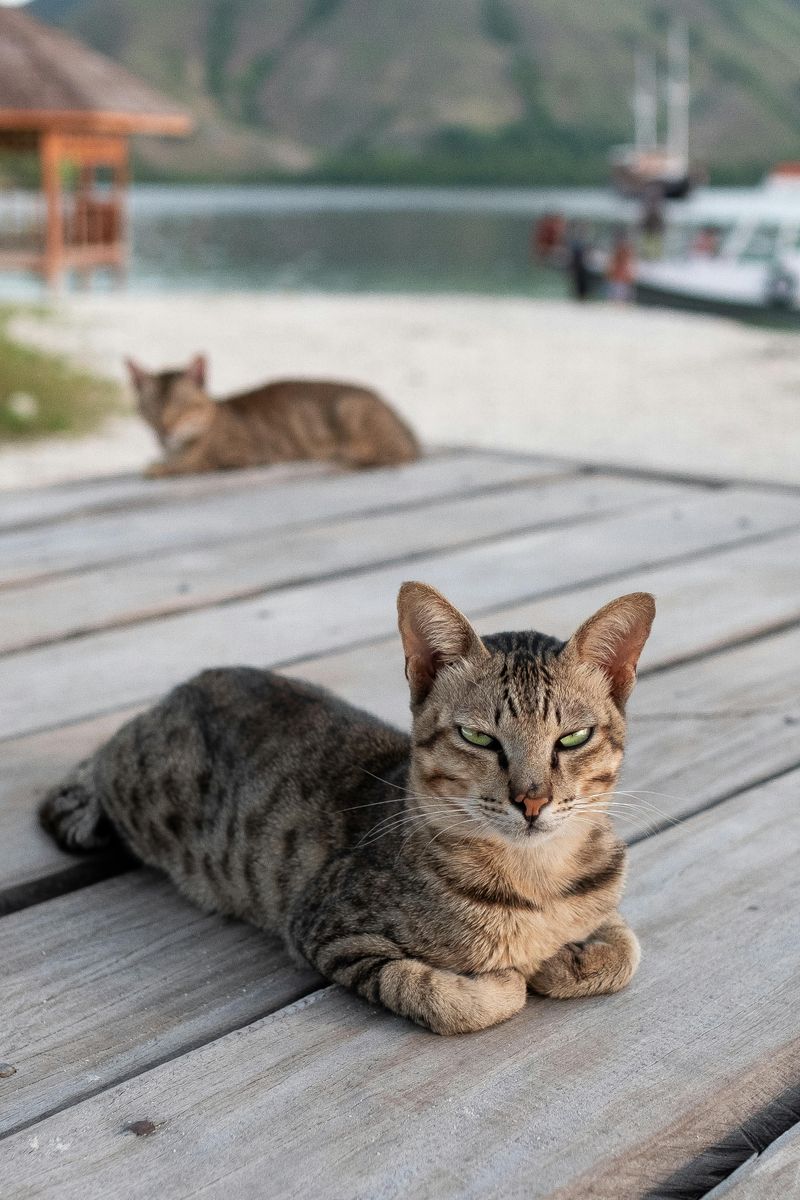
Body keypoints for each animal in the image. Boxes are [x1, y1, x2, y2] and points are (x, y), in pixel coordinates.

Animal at [40, 585, 652, 1036]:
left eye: (573, 738)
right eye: (478, 737)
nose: (532, 800)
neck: (535, 878)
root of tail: (176, 694)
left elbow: (627, 949)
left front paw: (568, 958)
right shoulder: (328, 931)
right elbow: (446, 995)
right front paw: (511, 976)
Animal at [125, 352, 419, 475]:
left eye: (182, 407)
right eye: (151, 409)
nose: (164, 430)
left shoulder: (244, 455)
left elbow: (196, 464)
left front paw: (163, 467)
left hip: (348, 407)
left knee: (393, 454)